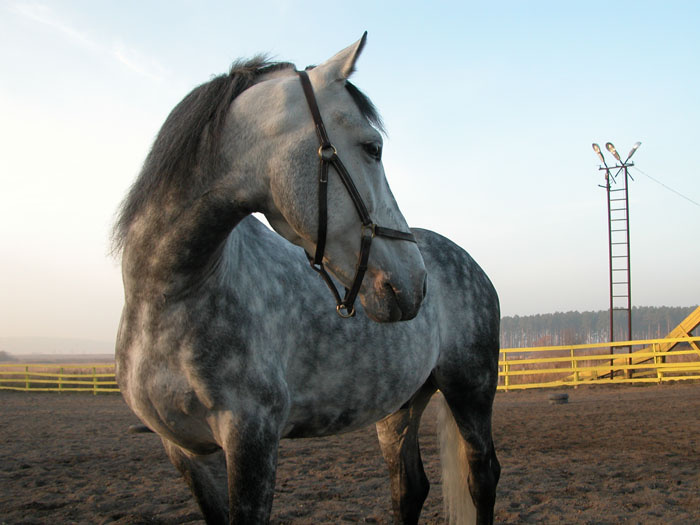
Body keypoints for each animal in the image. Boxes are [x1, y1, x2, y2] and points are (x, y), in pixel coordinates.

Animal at [113, 33, 500, 525]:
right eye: (373, 147)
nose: (415, 282)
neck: (167, 297)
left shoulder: (252, 440)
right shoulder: (187, 451)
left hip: (470, 389)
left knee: (482, 477)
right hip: (401, 406)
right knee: (410, 487)